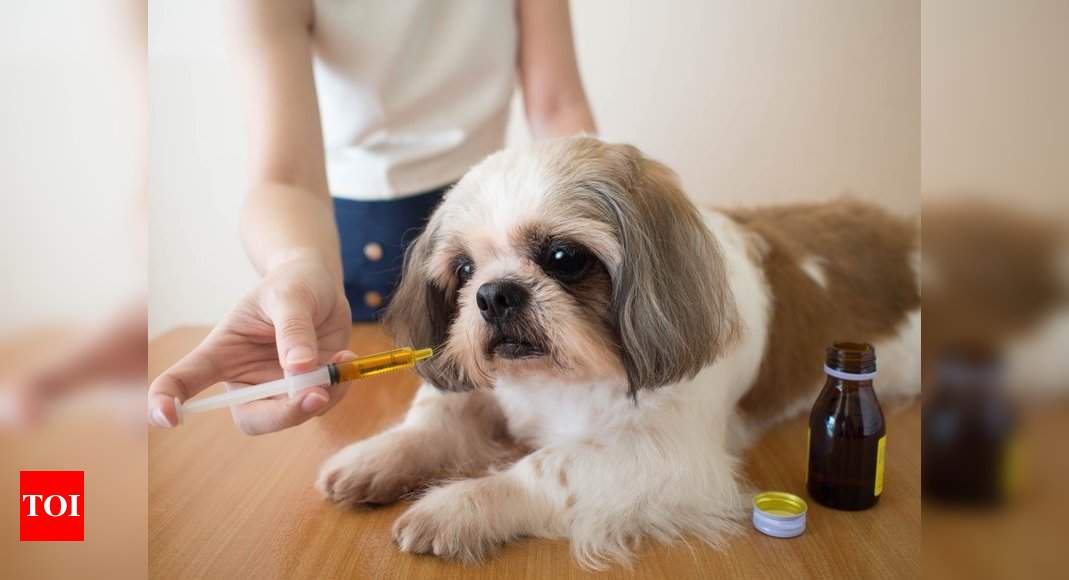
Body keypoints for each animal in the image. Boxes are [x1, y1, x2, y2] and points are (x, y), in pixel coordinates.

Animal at [314, 135, 919, 568]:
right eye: (463, 270)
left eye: (563, 257)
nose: (494, 293)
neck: (561, 381)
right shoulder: (490, 393)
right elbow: (436, 421)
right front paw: (380, 457)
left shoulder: (667, 458)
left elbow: (546, 468)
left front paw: (456, 506)